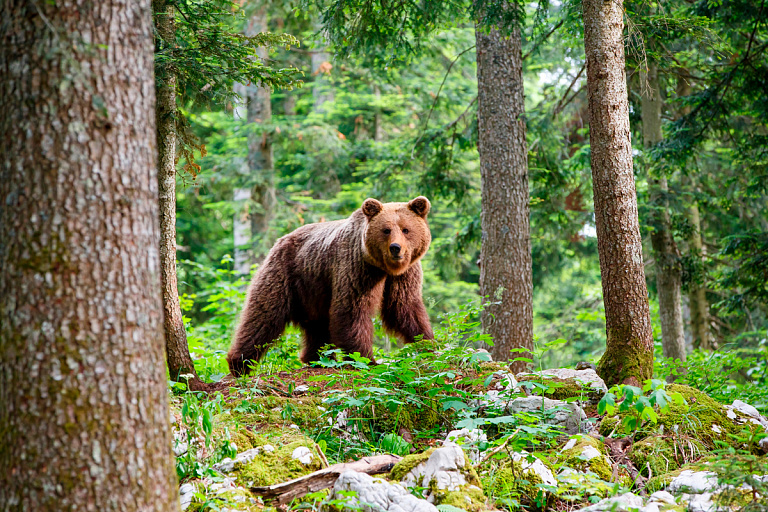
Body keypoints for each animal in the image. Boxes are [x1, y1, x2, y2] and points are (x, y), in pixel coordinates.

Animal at [226, 196, 432, 376]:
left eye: (406, 229)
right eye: (386, 230)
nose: (396, 248)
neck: (382, 267)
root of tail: (280, 240)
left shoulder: (404, 274)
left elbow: (404, 307)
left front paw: (427, 344)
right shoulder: (356, 268)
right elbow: (352, 309)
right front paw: (366, 359)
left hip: (313, 290)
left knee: (317, 327)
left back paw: (317, 358)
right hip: (285, 274)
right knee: (263, 316)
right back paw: (240, 364)